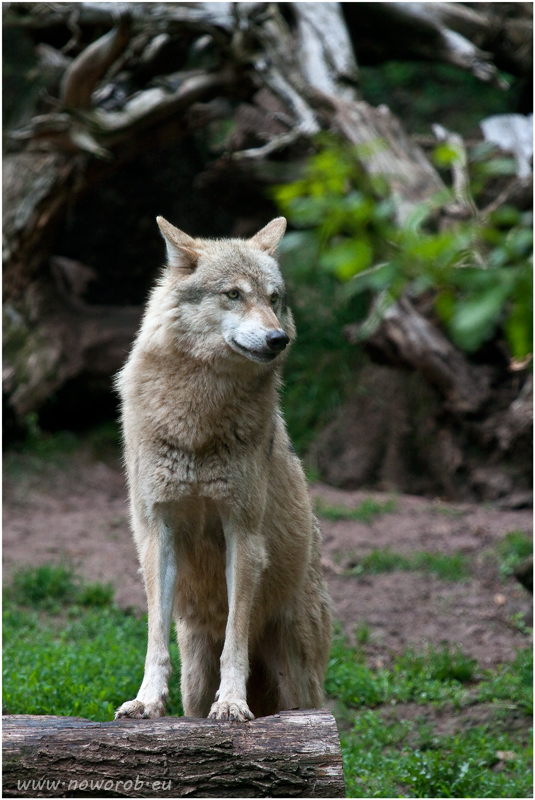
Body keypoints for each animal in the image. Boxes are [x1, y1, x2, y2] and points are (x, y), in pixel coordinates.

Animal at [114, 216, 330, 720]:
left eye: (273, 298)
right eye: (233, 294)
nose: (278, 339)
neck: (198, 416)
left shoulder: (243, 534)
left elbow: (236, 637)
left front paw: (232, 704)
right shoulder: (158, 531)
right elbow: (154, 637)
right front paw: (146, 701)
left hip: (299, 686)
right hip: (195, 677)